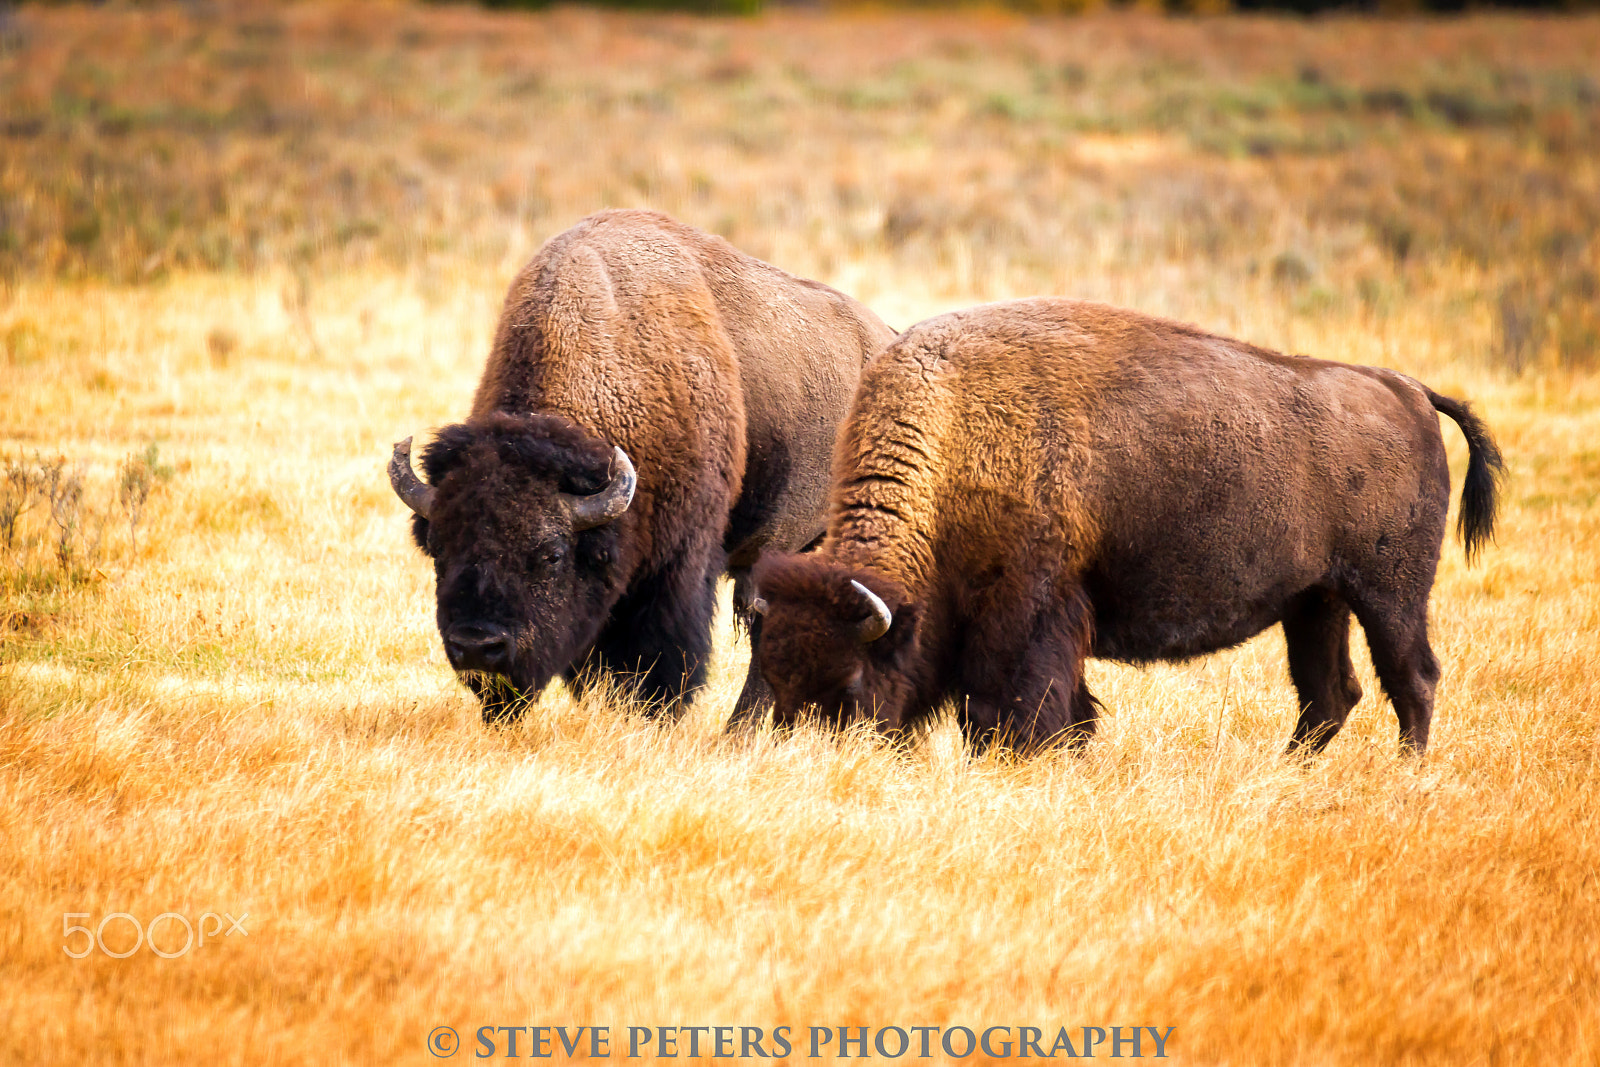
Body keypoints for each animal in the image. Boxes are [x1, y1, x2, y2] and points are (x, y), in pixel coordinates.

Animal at [748, 295, 1497, 755]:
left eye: (848, 688)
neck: (956, 428)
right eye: (776, 677)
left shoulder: (1029, 613)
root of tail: (1406, 388)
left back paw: (1405, 773)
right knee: (1329, 694)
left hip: (1390, 594)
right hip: (1317, 601)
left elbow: (1014, 706)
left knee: (1412, 680)